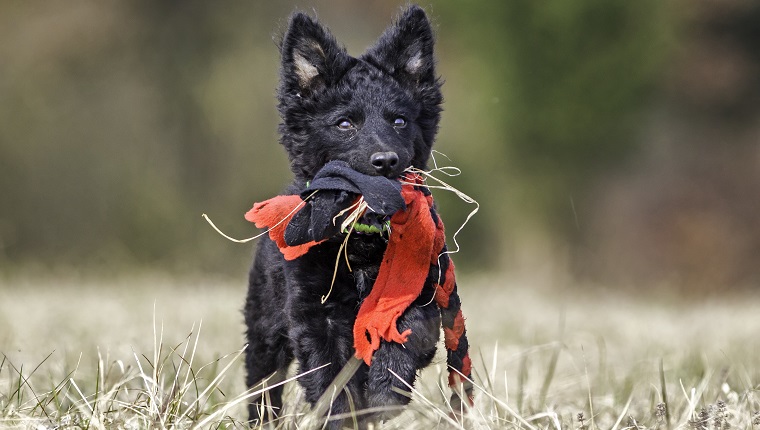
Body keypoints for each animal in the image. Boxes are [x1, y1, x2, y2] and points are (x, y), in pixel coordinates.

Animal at [243, 5, 470, 426]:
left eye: (399, 121)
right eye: (345, 123)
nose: (386, 161)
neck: (361, 239)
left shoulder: (421, 297)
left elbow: (403, 338)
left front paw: (386, 392)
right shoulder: (316, 317)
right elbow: (331, 382)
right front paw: (340, 417)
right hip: (264, 332)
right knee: (263, 385)